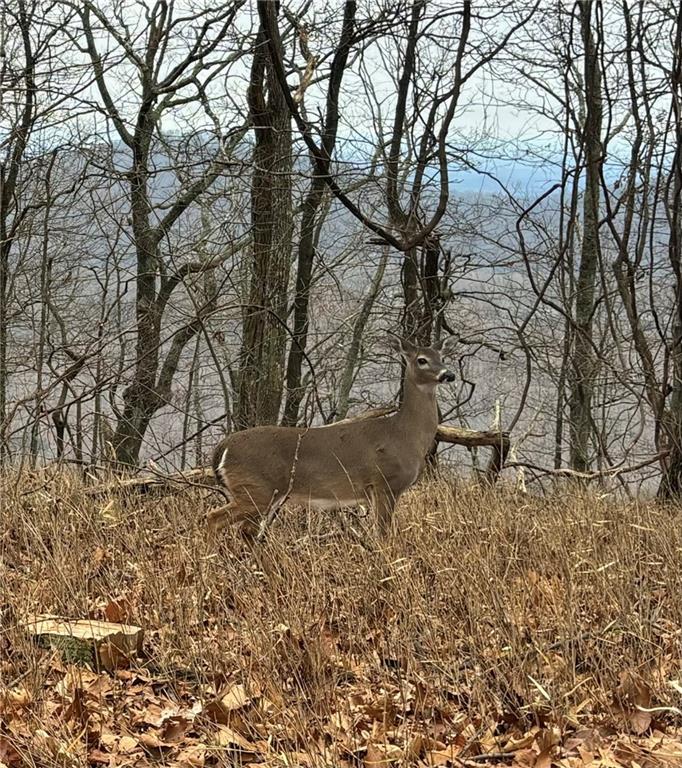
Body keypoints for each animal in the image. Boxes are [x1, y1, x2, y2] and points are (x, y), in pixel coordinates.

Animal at [205, 336, 454, 540]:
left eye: (442, 357)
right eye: (422, 360)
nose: (448, 374)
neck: (404, 434)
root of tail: (222, 448)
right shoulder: (384, 483)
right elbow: (383, 535)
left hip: (262, 494)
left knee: (245, 531)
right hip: (255, 488)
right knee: (214, 519)